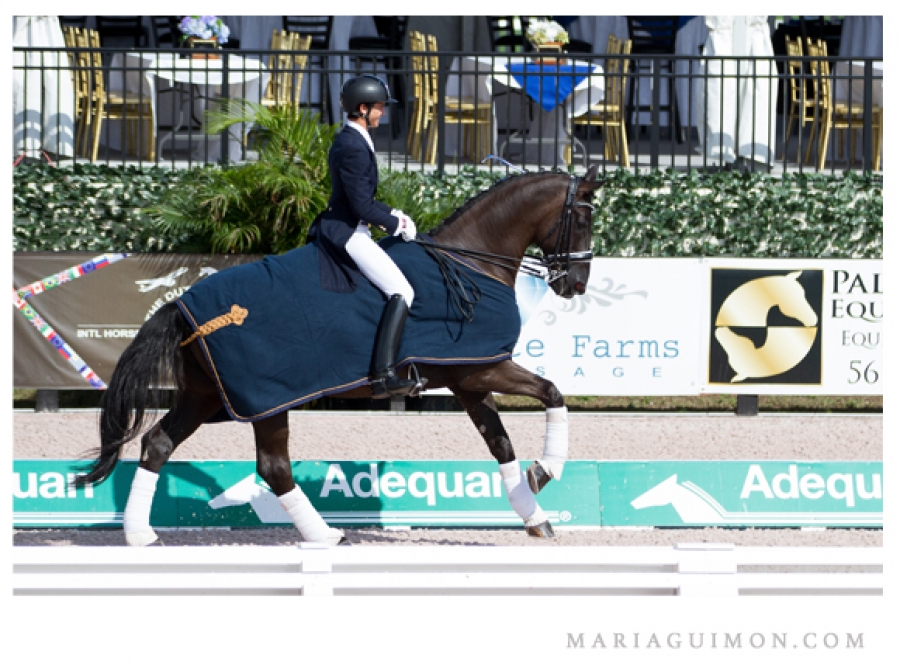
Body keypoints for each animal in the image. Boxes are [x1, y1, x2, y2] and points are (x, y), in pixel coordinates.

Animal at [75, 164, 604, 544]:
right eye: (582, 218)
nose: (575, 284)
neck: (470, 261)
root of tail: (183, 307)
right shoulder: (484, 369)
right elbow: (553, 393)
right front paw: (547, 471)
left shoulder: (469, 378)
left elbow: (500, 443)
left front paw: (533, 514)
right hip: (269, 399)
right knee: (273, 467)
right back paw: (325, 535)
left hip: (206, 396)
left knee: (158, 443)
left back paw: (140, 534)